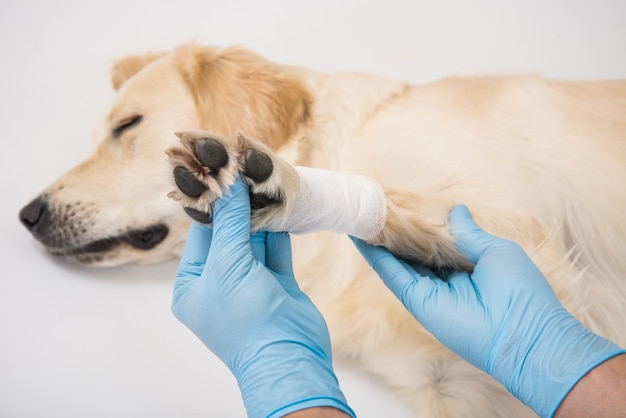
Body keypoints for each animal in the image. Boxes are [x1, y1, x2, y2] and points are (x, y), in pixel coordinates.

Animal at [19, 43, 624, 418]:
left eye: (127, 126)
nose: (27, 215)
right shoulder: (459, 385)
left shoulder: (516, 230)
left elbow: (388, 200)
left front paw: (275, 184)